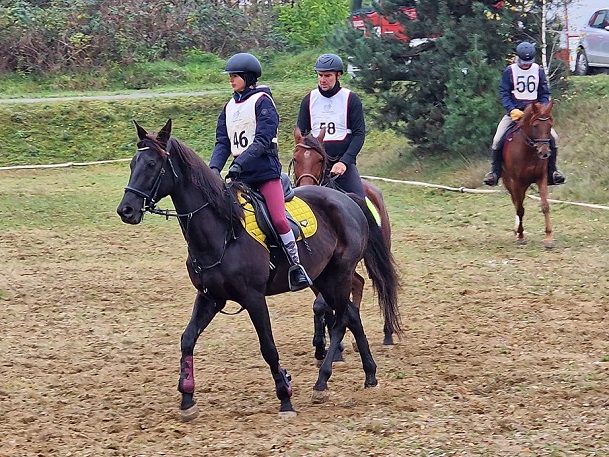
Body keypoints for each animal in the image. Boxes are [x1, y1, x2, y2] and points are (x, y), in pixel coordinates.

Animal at [290, 125, 394, 360]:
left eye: (320, 160)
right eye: (295, 158)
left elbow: (323, 304)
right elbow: (322, 305)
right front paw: (326, 345)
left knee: (382, 284)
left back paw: (386, 333)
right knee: (358, 284)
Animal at [498, 101, 556, 248]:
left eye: (550, 125)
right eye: (535, 125)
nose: (544, 153)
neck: (529, 151)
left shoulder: (541, 177)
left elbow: (545, 206)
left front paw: (548, 238)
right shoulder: (517, 181)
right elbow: (520, 209)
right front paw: (520, 236)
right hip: (510, 182)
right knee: (516, 203)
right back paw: (517, 230)